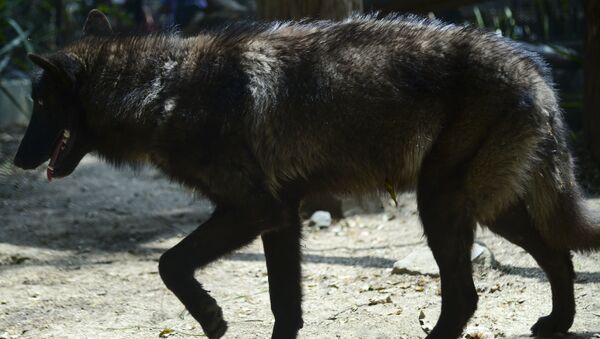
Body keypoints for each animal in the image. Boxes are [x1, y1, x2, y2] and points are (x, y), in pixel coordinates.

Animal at [12, 9, 600, 338]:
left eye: (40, 103)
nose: (16, 160)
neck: (161, 88)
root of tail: (536, 71)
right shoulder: (282, 218)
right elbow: (284, 305)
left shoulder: (254, 210)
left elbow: (169, 263)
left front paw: (211, 318)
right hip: (493, 211)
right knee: (559, 256)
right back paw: (556, 325)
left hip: (441, 209)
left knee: (465, 297)